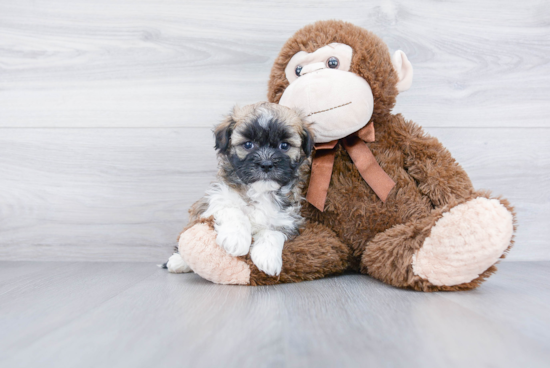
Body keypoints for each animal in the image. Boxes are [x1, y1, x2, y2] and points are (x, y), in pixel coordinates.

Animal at [166, 102, 314, 274]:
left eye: (284, 146)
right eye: (248, 145)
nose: (266, 164)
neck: (259, 192)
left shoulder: (288, 217)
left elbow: (273, 231)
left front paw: (267, 257)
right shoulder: (215, 198)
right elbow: (232, 209)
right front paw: (235, 239)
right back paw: (178, 261)